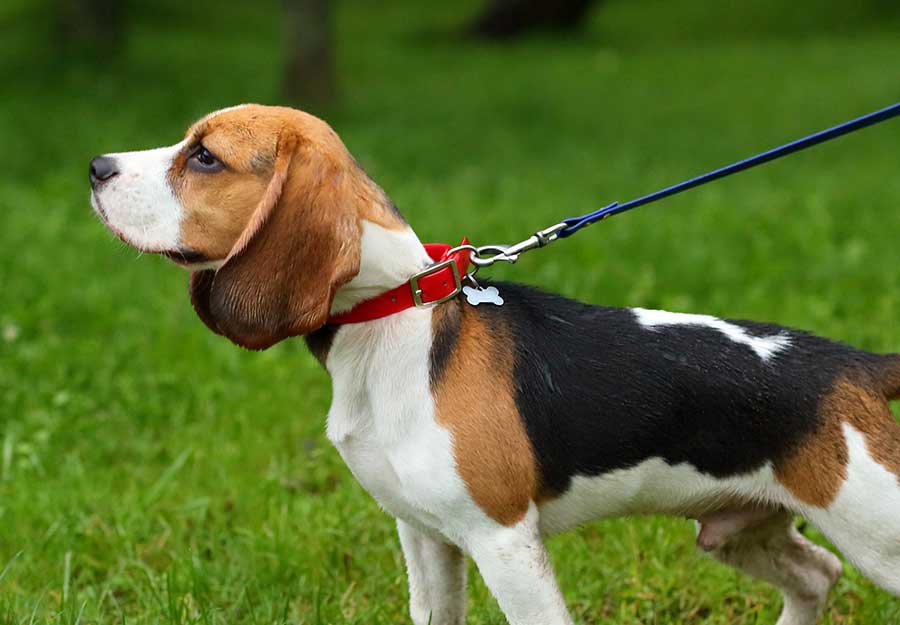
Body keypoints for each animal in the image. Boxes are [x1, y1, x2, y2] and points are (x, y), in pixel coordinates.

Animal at [89, 103, 900, 624]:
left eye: (204, 157)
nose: (96, 165)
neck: (395, 315)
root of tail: (857, 365)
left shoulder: (504, 542)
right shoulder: (424, 536)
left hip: (873, 530)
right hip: (737, 528)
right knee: (817, 575)